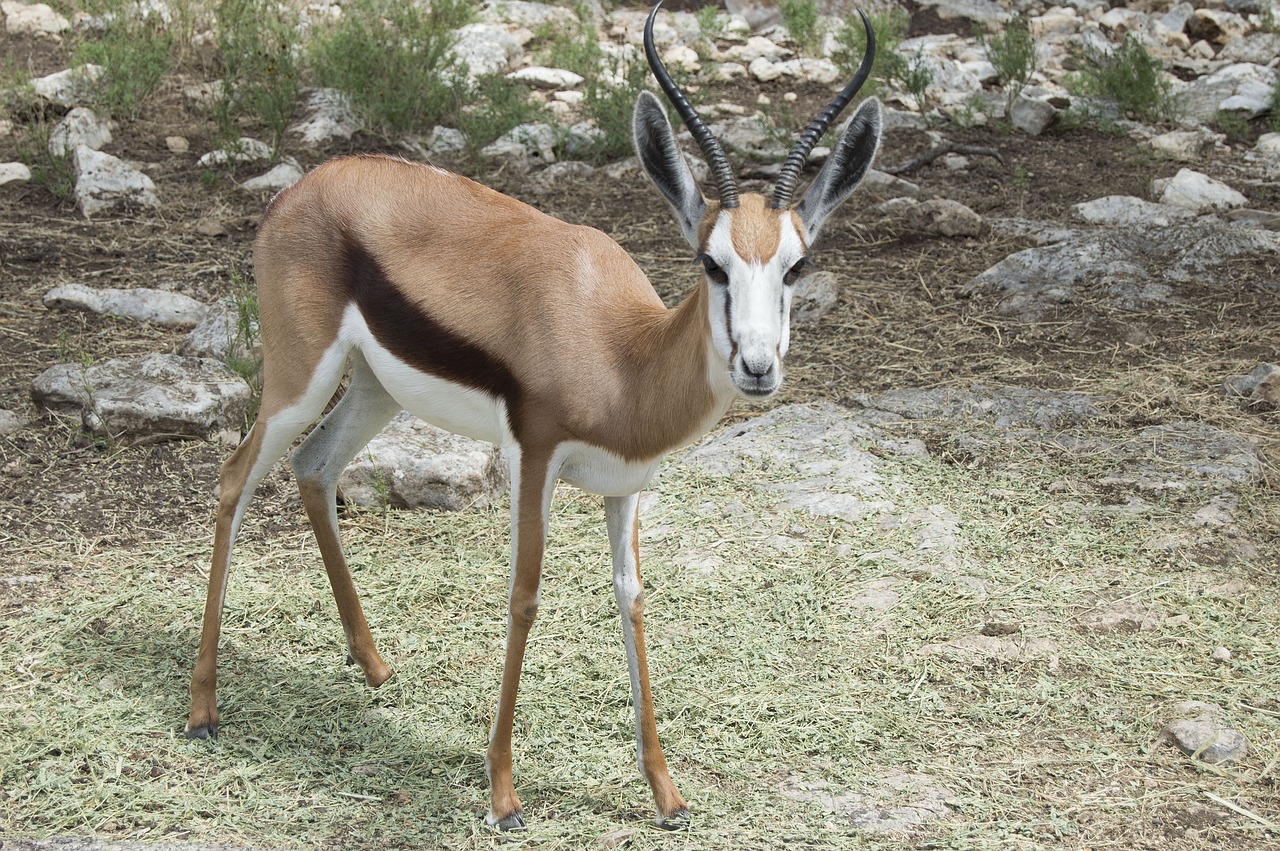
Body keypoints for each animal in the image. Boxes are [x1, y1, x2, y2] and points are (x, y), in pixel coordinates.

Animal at [185, 1, 880, 829]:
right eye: (711, 263)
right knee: (233, 478)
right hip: (298, 378)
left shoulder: (626, 486)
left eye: (795, 266)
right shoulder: (533, 457)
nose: (757, 367)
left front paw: (667, 793)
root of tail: (303, 186)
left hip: (376, 389)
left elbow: (631, 602)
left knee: (313, 466)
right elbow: (524, 597)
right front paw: (504, 793)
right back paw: (203, 710)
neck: (621, 354)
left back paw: (376, 667)